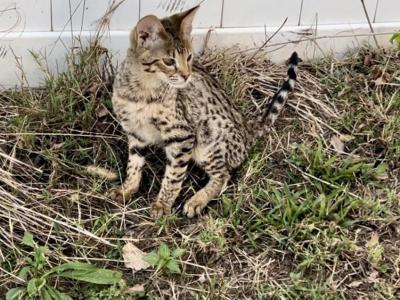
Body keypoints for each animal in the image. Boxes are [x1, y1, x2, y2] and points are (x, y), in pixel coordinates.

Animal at [111, 6, 298, 218]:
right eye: (168, 61)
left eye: (189, 57)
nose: (186, 75)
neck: (142, 91)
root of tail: (246, 129)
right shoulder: (135, 133)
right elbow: (133, 165)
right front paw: (127, 190)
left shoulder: (182, 136)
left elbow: (173, 176)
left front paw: (162, 204)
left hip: (207, 143)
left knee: (223, 175)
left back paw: (197, 200)